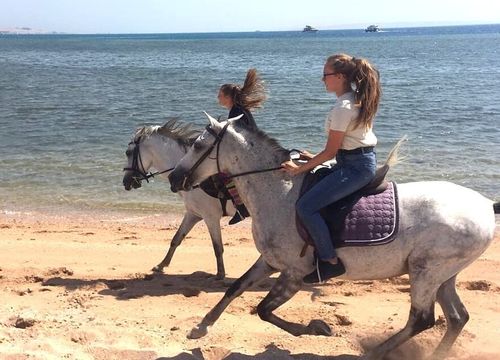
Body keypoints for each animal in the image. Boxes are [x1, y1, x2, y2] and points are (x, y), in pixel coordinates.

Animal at [122, 119, 237, 280]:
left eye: (128, 152)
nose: (125, 182)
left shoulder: (211, 217)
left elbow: (217, 247)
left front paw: (220, 274)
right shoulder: (193, 214)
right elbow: (176, 239)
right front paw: (161, 265)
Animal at [169, 114, 500, 358]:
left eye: (197, 146)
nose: (173, 178)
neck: (280, 192)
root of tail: (485, 204)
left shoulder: (294, 273)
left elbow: (263, 310)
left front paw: (317, 327)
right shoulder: (270, 261)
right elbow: (235, 289)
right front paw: (200, 328)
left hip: (426, 272)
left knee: (422, 319)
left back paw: (373, 353)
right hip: (443, 275)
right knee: (457, 318)